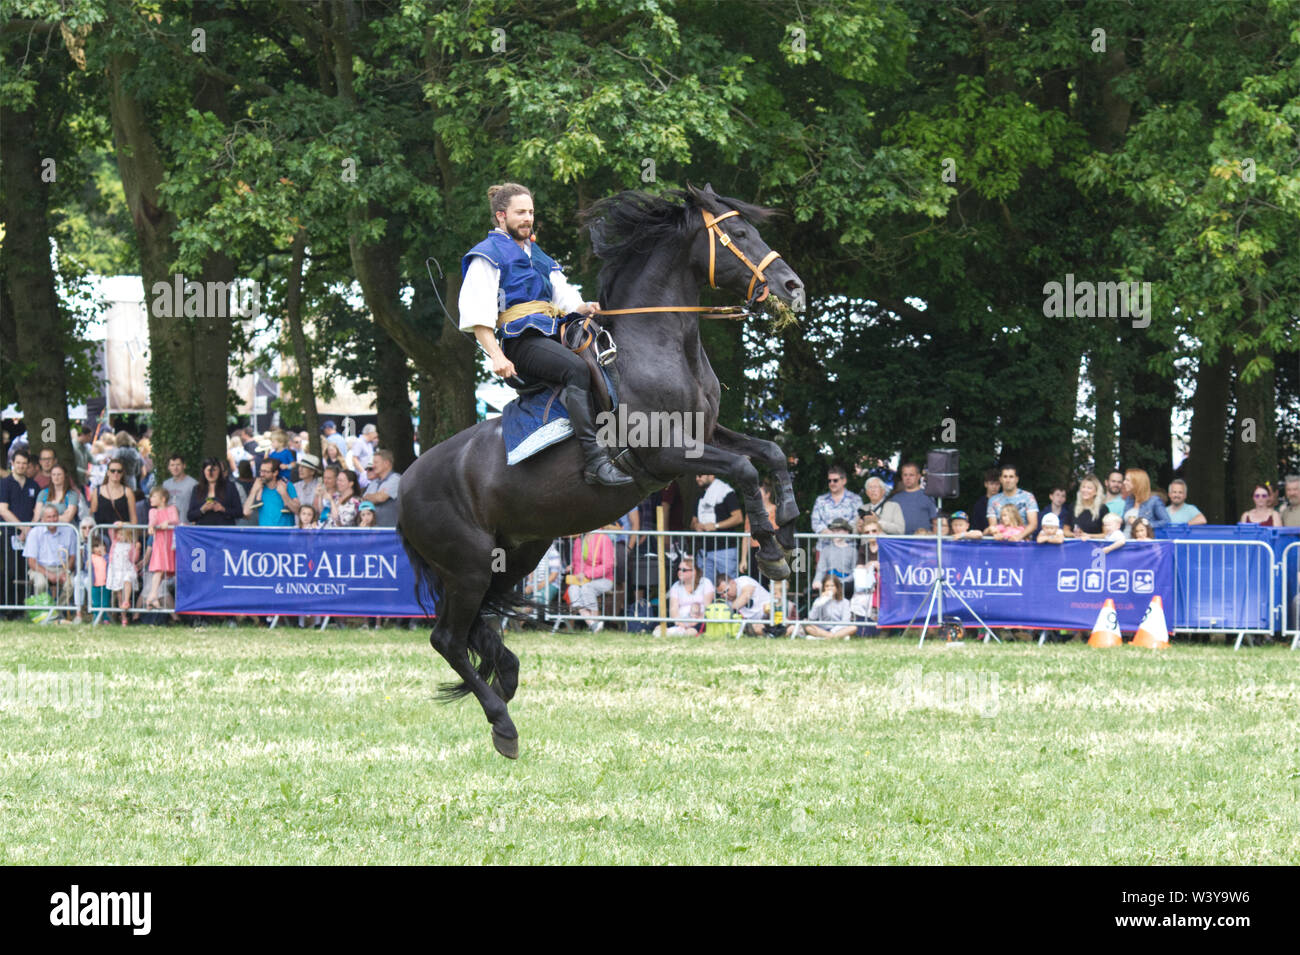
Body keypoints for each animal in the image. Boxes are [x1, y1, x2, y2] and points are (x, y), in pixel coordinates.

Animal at [395, 183, 800, 758]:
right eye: (740, 233)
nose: (792, 285)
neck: (656, 348)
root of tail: (404, 486)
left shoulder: (705, 436)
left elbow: (769, 452)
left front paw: (787, 525)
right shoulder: (667, 455)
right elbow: (745, 469)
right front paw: (770, 550)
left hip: (515, 555)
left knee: (475, 632)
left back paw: (506, 676)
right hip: (468, 566)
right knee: (447, 638)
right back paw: (503, 723)